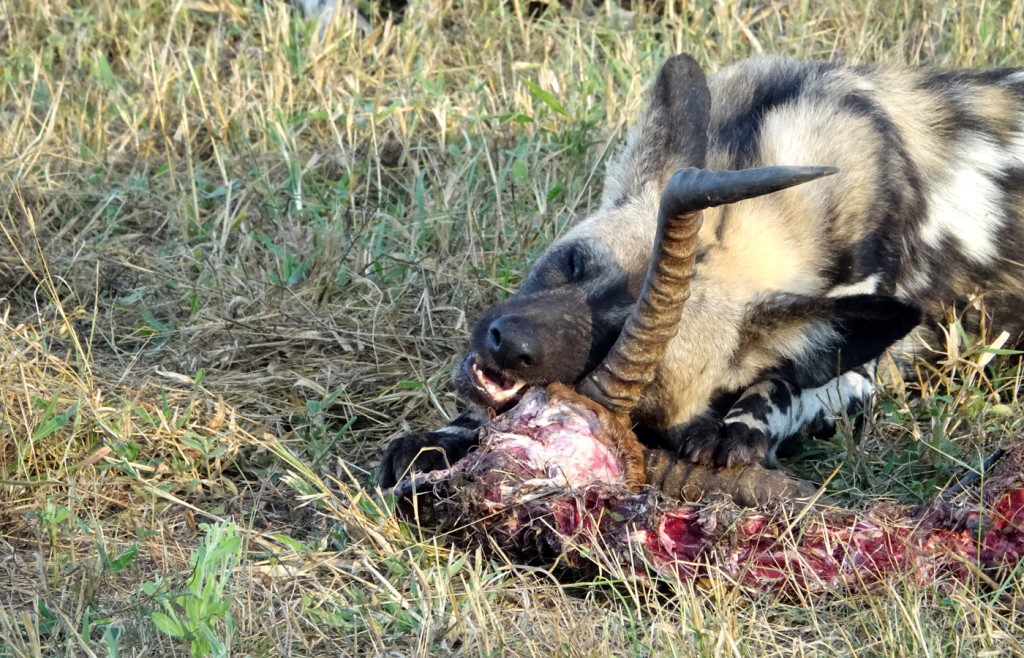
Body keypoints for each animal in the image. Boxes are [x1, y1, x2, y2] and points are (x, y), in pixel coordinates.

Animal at [380, 53, 1024, 489]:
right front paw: (446, 436)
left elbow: (784, 383)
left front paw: (739, 423)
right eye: (573, 262)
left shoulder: (864, 379)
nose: (508, 343)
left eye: (618, 339)